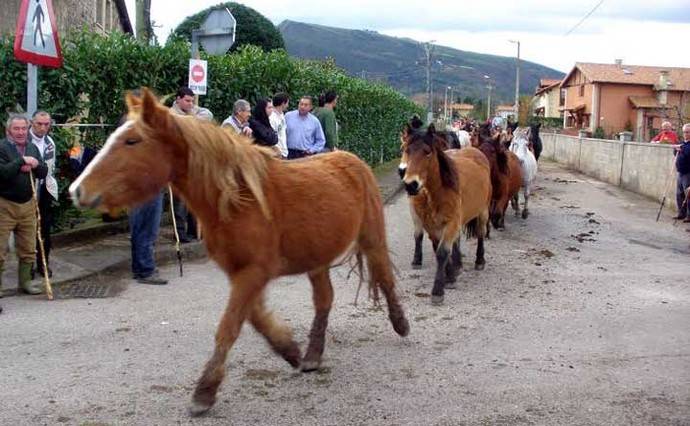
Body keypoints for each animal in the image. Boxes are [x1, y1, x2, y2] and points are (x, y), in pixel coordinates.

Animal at [68, 89, 408, 416]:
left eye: (132, 140)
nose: (77, 191)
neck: (237, 199)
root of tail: (353, 161)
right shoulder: (241, 273)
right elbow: (253, 319)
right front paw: (289, 350)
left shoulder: (253, 273)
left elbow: (228, 327)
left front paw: (204, 392)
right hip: (317, 258)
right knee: (325, 299)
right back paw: (312, 355)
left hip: (372, 238)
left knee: (384, 277)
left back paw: (400, 324)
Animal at [398, 124, 490, 306]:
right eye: (406, 149)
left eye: (427, 152)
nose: (411, 184)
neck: (437, 193)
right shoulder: (431, 225)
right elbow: (437, 248)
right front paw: (450, 276)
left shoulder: (451, 222)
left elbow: (441, 252)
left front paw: (438, 291)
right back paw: (457, 264)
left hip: (483, 211)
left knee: (481, 234)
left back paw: (479, 261)